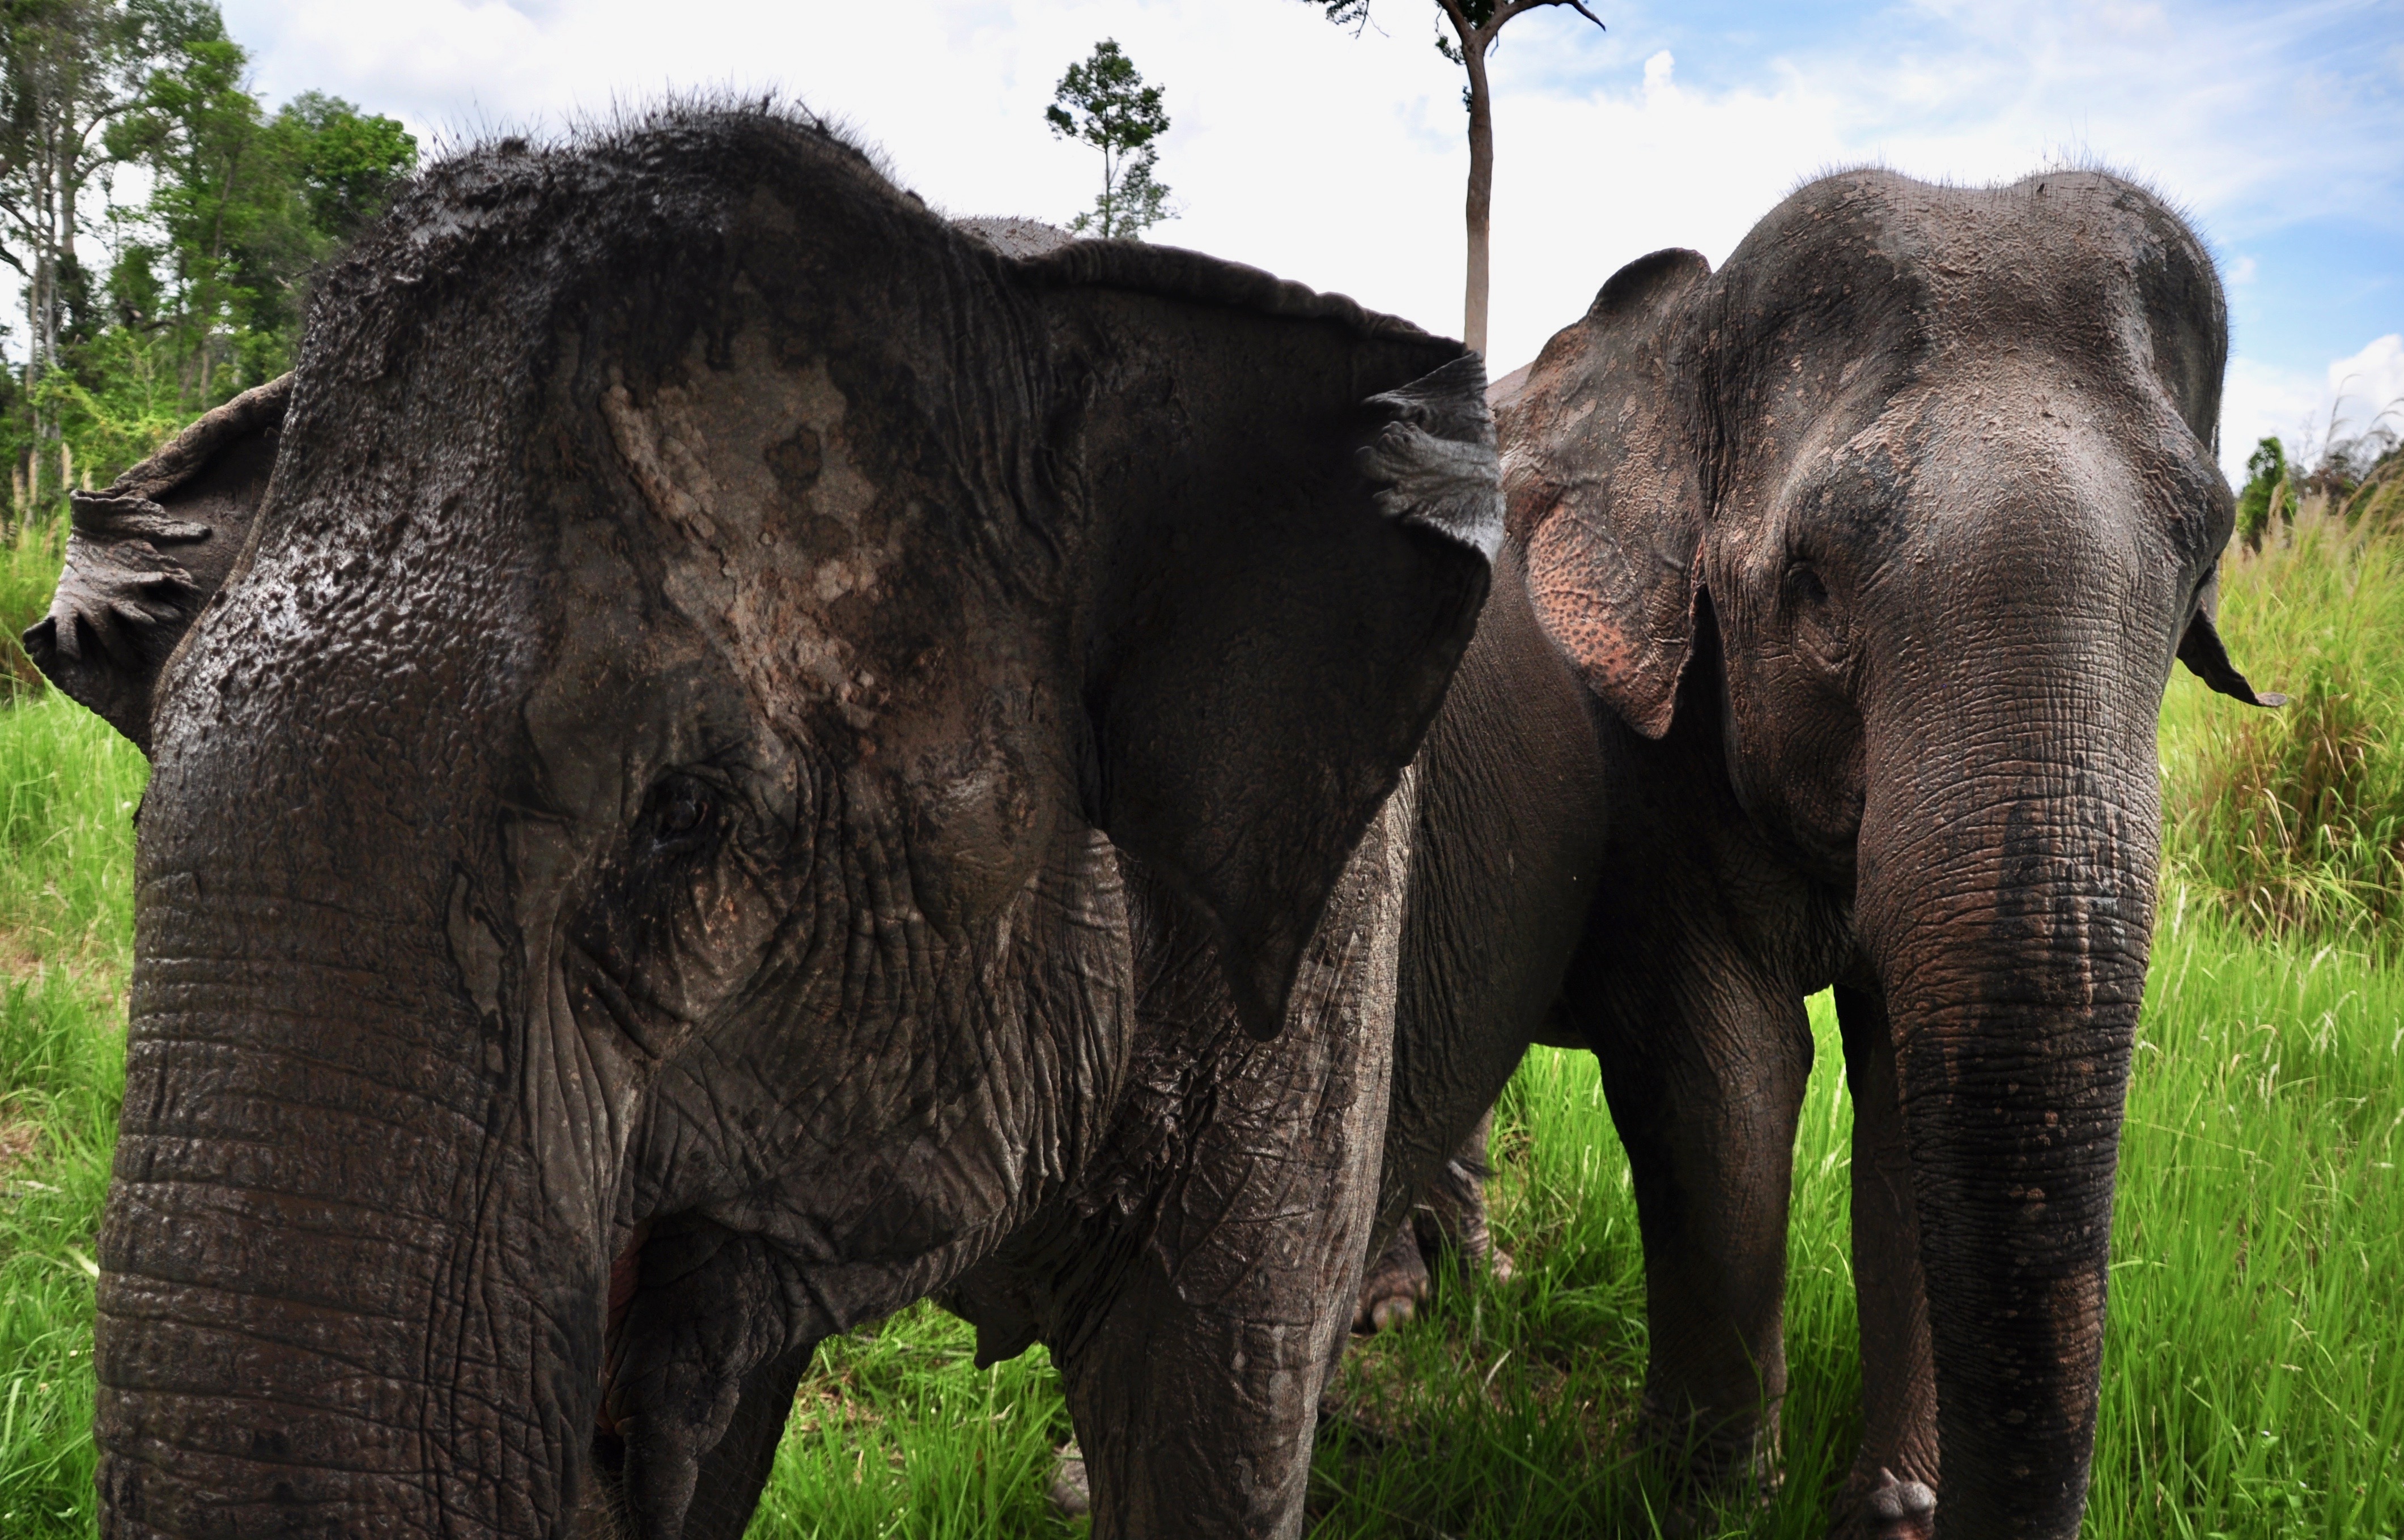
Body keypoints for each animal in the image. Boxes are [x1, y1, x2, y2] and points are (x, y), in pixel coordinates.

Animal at [1354, 168, 2276, 1539]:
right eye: (1816, 591)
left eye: (2200, 567)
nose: (1925, 1515)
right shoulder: (1644, 753)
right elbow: (1725, 1073)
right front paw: (1710, 1502)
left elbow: (1903, 1083)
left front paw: (1891, 1510)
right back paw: (1398, 1307)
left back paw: (1477, 1280)